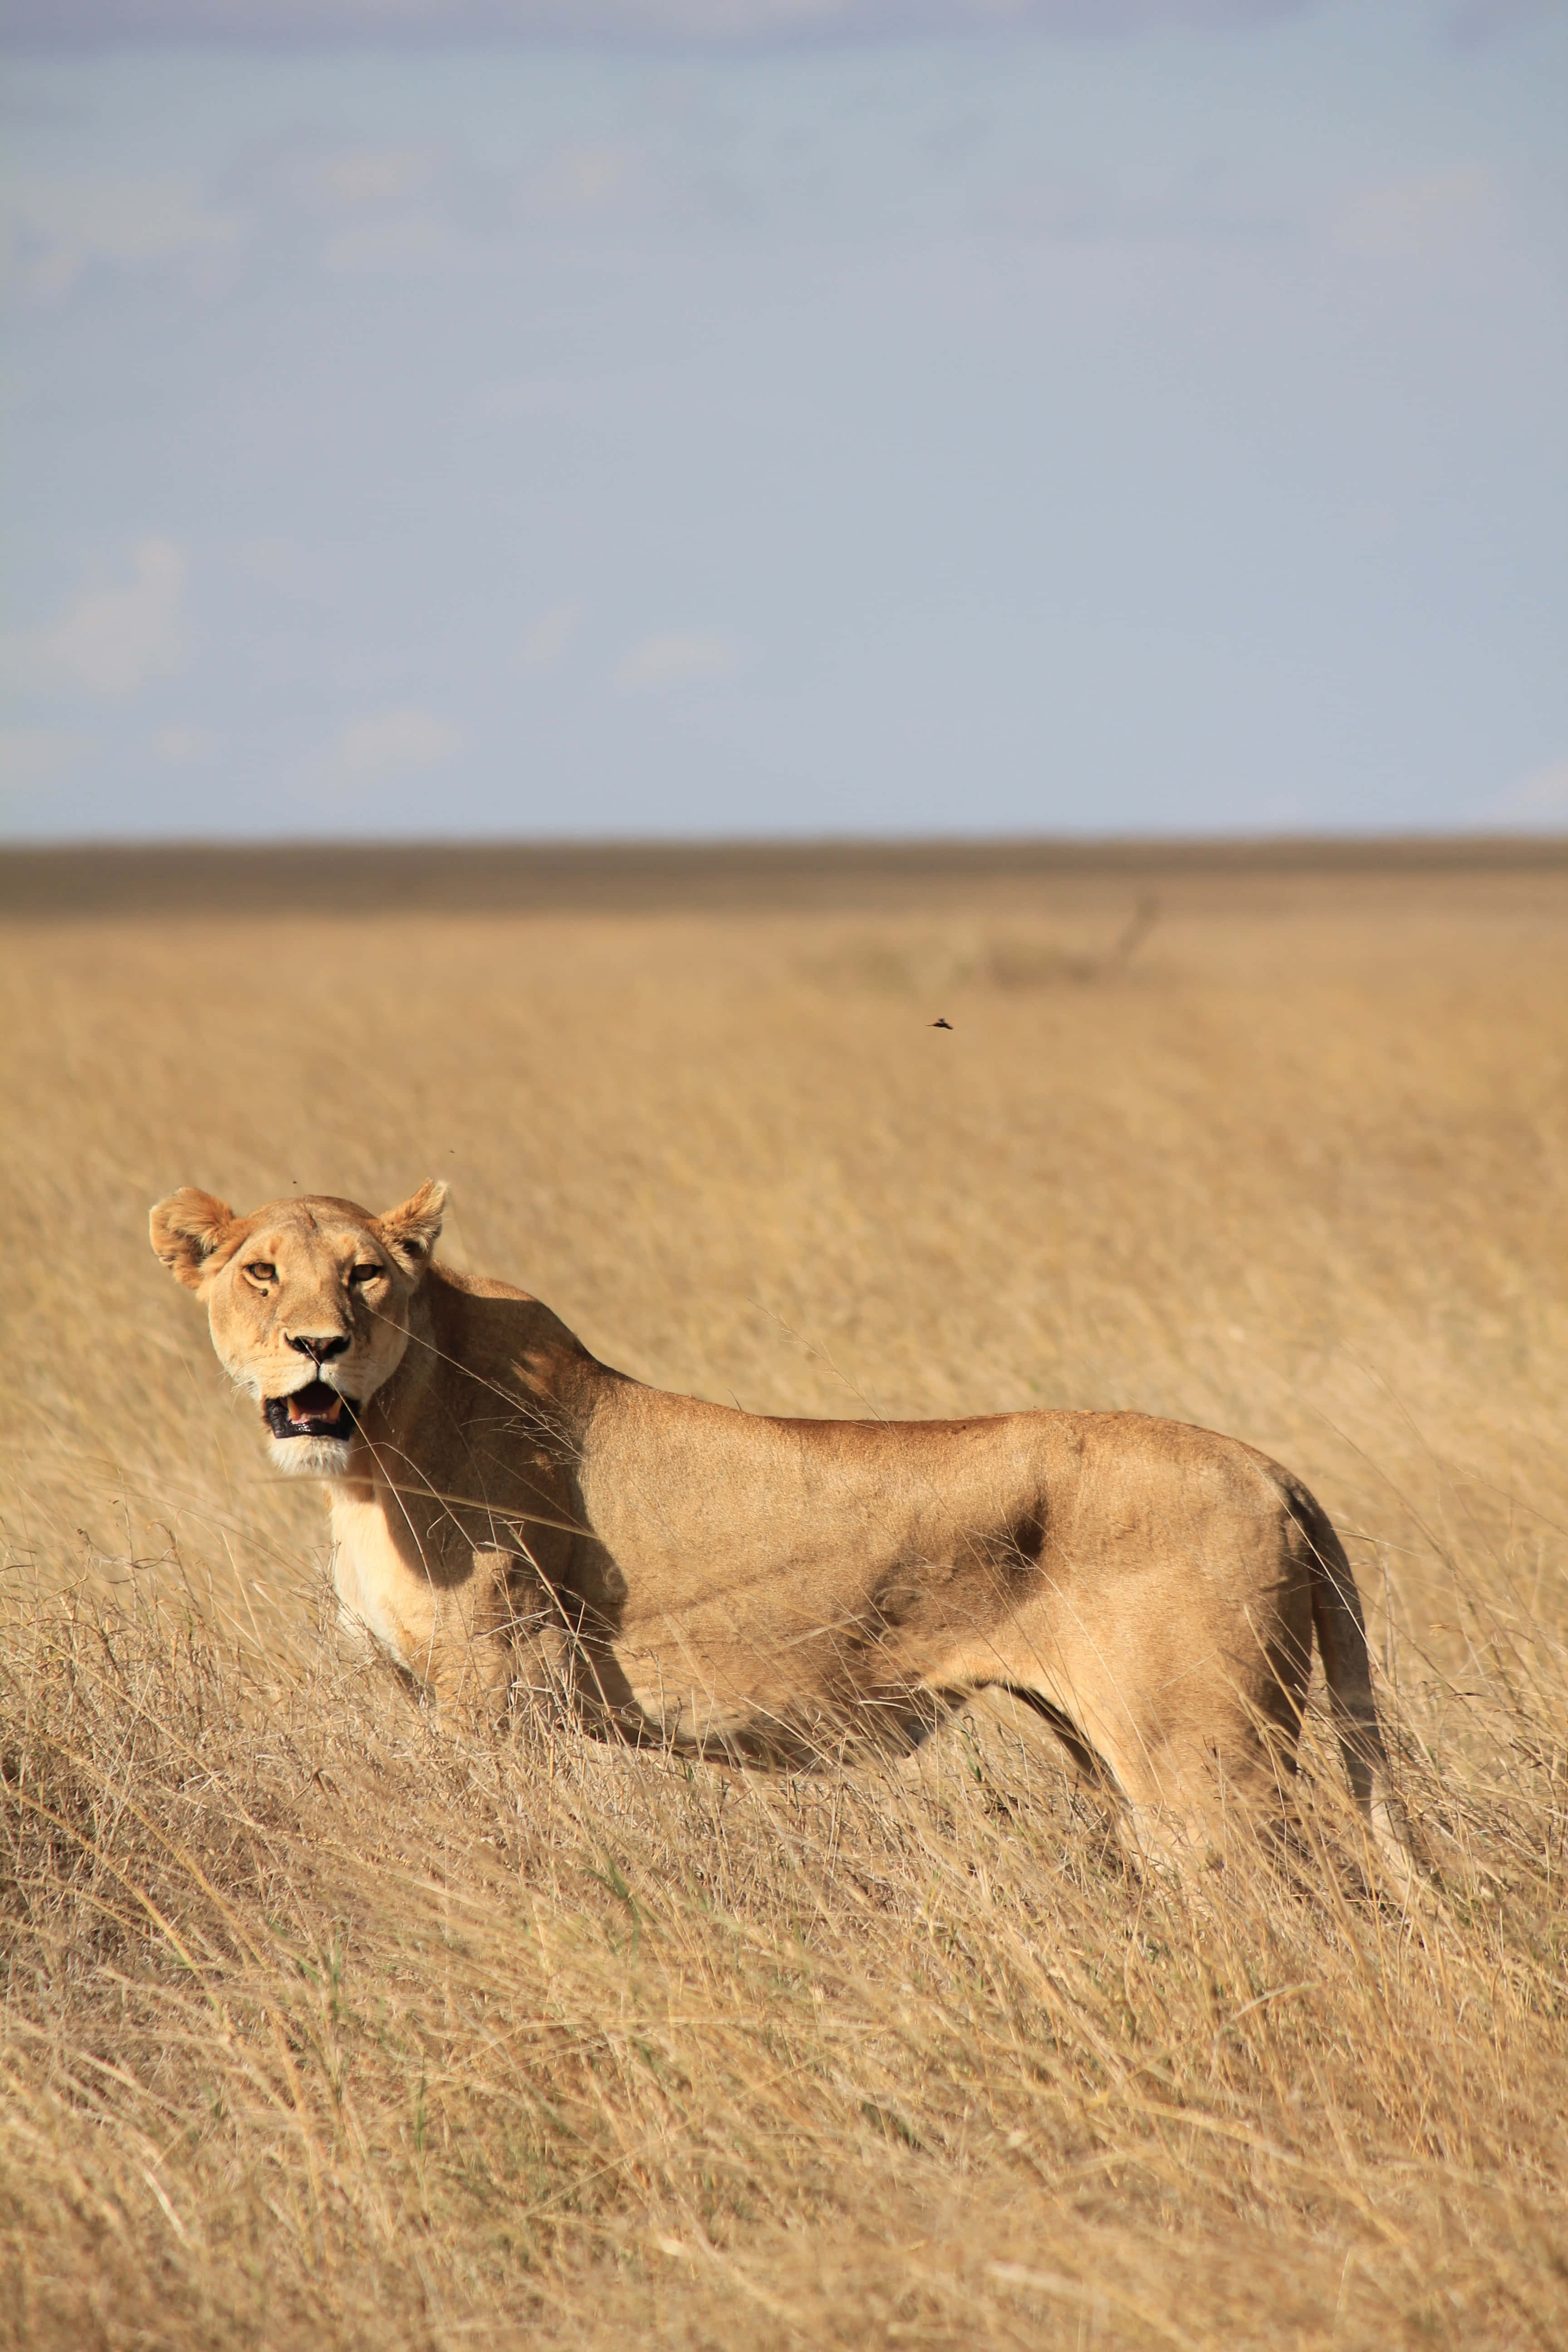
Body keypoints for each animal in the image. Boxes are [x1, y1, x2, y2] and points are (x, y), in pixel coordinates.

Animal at [149, 1179, 1407, 1869]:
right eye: (261, 1273)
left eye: (365, 1275)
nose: (319, 1346)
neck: (367, 1459)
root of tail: (1270, 1467)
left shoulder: (500, 1693)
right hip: (1106, 1745)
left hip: (1208, 1758)